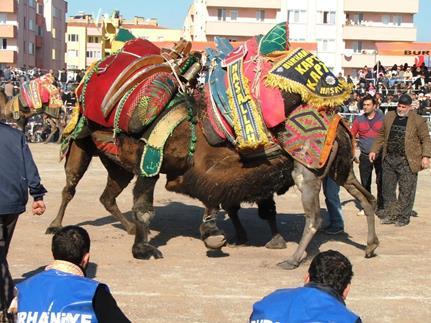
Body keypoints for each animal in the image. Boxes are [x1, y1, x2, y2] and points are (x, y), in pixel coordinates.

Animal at [45, 23, 380, 270]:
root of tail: (340, 126)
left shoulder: (176, 166)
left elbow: (187, 203)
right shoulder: (164, 165)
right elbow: (162, 205)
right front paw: (153, 245)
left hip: (313, 171)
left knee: (322, 213)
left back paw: (297, 259)